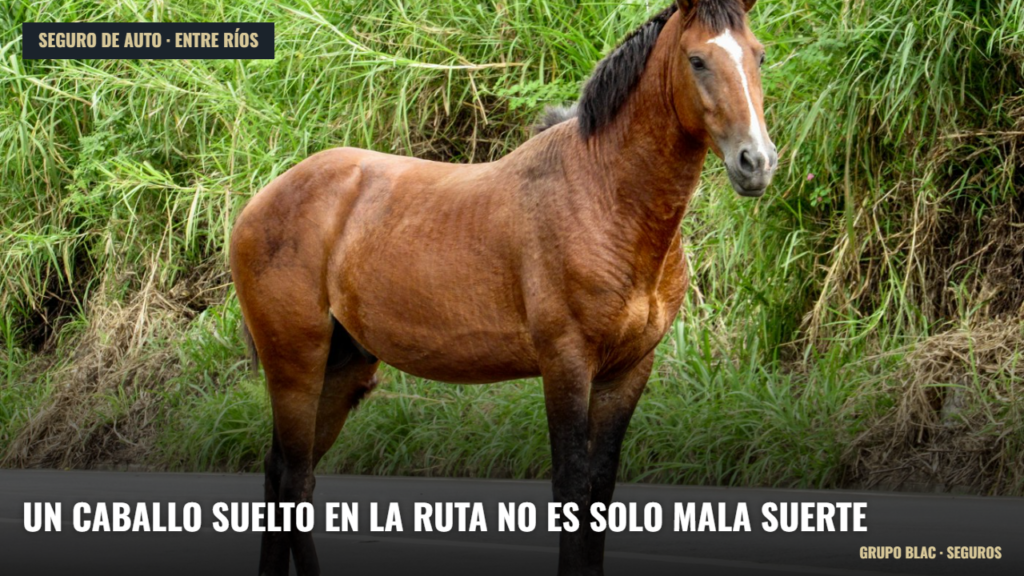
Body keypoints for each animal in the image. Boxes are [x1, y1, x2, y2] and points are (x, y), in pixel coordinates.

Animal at [229, 0, 776, 574]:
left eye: (758, 55)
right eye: (697, 60)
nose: (756, 162)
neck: (604, 194)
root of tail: (260, 201)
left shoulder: (628, 371)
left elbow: (600, 494)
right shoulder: (566, 364)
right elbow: (572, 489)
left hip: (342, 370)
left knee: (286, 476)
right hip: (295, 367)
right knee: (292, 478)